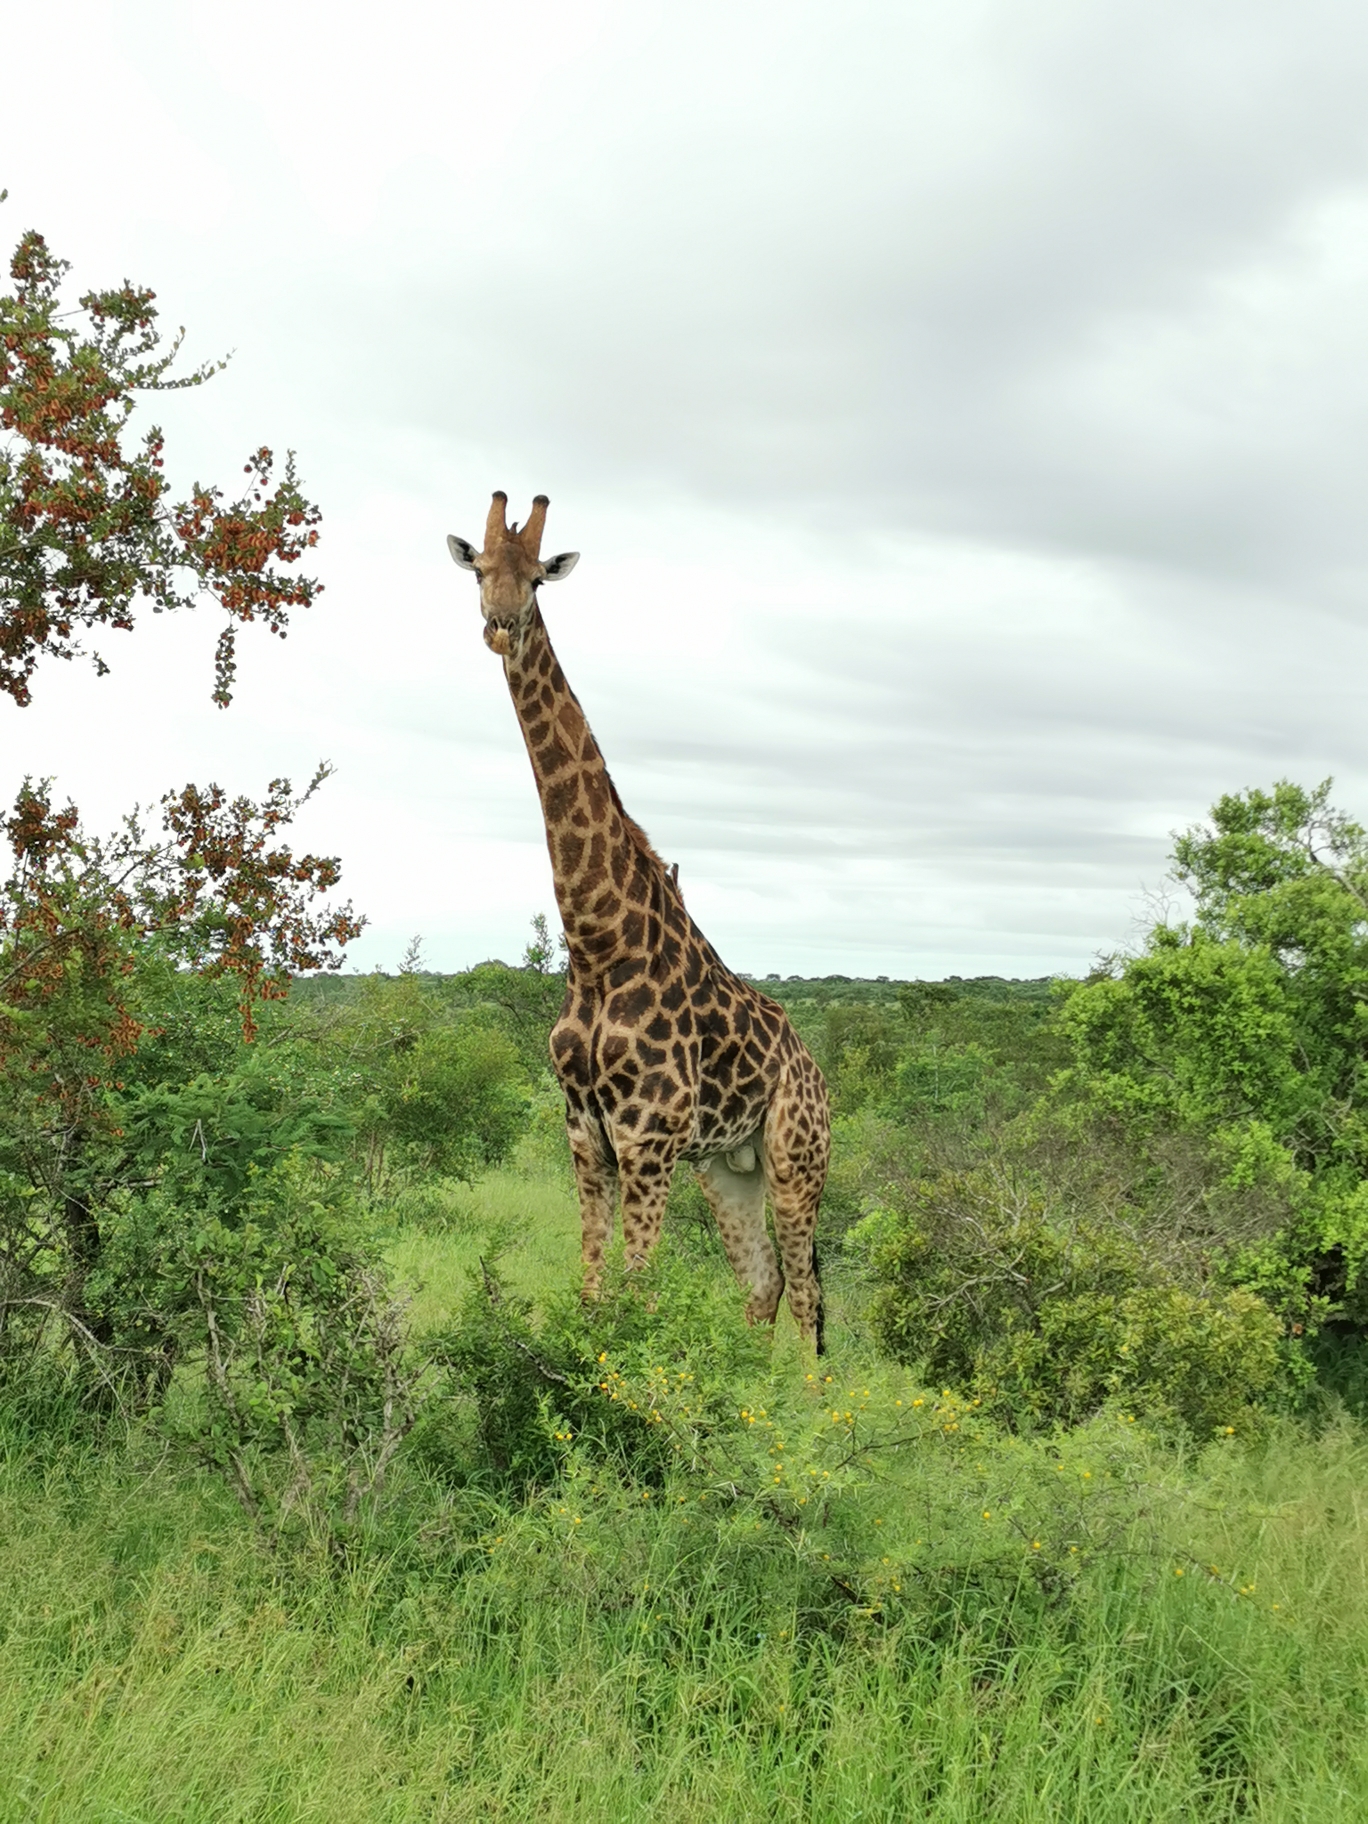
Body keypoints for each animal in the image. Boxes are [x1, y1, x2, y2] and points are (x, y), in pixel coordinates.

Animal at [456, 492, 831, 1349]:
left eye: (538, 577)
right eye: (479, 570)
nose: (498, 625)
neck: (597, 945)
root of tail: (816, 1072)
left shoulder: (647, 1139)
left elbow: (638, 1298)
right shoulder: (585, 1136)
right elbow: (595, 1291)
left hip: (796, 1159)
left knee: (805, 1296)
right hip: (728, 1167)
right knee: (762, 1283)